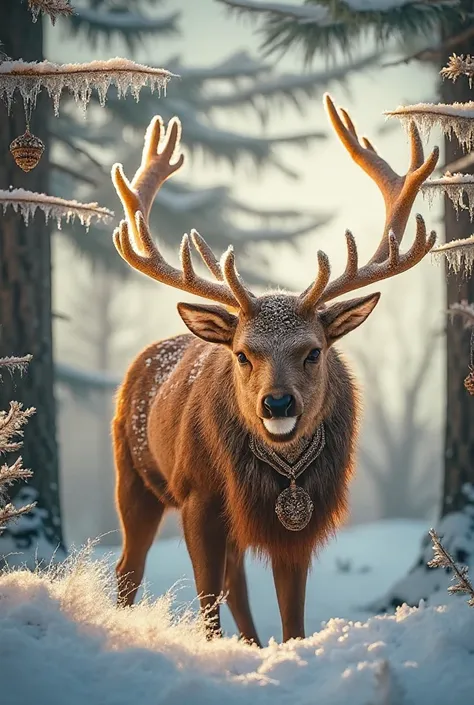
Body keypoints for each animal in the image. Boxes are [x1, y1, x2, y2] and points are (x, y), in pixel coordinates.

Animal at [110, 93, 439, 647]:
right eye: (244, 354)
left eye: (314, 351)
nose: (278, 403)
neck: (280, 476)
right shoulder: (198, 494)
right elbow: (206, 601)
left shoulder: (303, 518)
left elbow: (292, 617)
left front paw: (285, 649)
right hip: (133, 475)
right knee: (129, 570)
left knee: (235, 583)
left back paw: (251, 643)